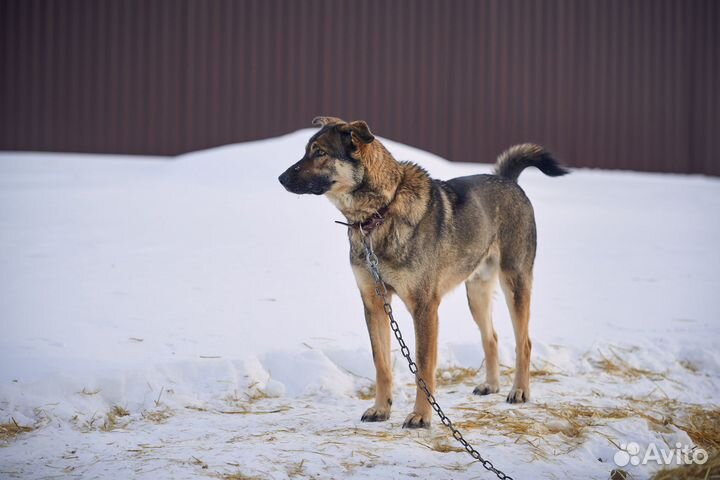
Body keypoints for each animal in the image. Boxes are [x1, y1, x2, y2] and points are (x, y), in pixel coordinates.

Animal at [278, 118, 564, 430]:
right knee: (492, 338)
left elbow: (424, 368)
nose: (280, 178)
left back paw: (520, 391)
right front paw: (381, 409)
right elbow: (381, 364)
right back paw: (490, 385)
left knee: (524, 342)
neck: (380, 212)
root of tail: (509, 181)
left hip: (514, 283)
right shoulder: (374, 304)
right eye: (307, 150)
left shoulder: (425, 308)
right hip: (476, 293)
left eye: (319, 153)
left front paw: (421, 416)